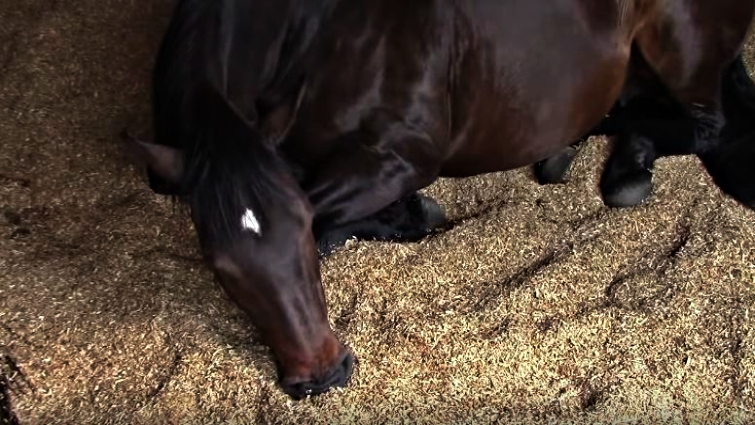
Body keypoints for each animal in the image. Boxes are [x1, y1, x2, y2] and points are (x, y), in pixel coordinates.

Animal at [127, 0, 755, 399]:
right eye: (219, 267)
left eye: (299, 230)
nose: (323, 375)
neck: (307, 38)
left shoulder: (403, 158)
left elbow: (332, 213)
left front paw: (410, 214)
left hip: (681, 53)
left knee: (705, 124)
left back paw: (627, 167)